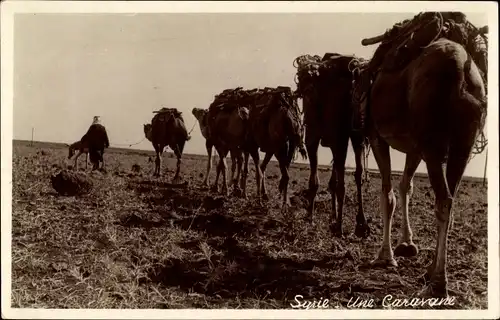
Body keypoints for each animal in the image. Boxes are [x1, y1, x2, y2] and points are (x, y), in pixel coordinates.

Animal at [292, 53, 372, 238]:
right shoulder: (319, 138)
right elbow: (324, 181)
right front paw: (319, 217)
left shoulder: (327, 137)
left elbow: (330, 183)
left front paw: (332, 224)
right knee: (348, 175)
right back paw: (349, 221)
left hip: (346, 135)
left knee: (350, 177)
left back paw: (351, 225)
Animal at [356, 12, 488, 298]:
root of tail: (462, 69)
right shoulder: (414, 147)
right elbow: (406, 187)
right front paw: (406, 244)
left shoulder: (377, 136)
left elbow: (388, 194)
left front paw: (385, 256)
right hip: (462, 144)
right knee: (450, 197)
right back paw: (431, 273)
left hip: (433, 143)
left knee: (444, 200)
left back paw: (438, 283)